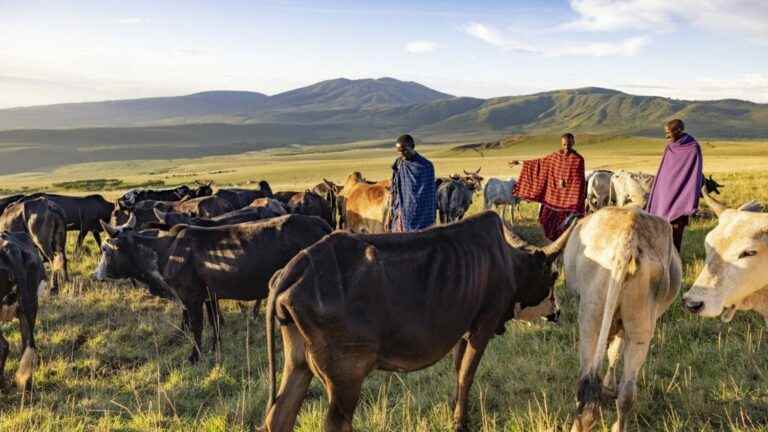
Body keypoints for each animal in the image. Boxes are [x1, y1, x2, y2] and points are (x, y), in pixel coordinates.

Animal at [260, 212, 572, 432]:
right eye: (553, 275)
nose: (557, 312)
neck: (508, 261)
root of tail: (294, 268)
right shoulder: (483, 325)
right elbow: (466, 376)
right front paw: (460, 423)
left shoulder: (463, 330)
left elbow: (458, 372)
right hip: (346, 378)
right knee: (336, 424)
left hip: (299, 364)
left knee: (279, 417)